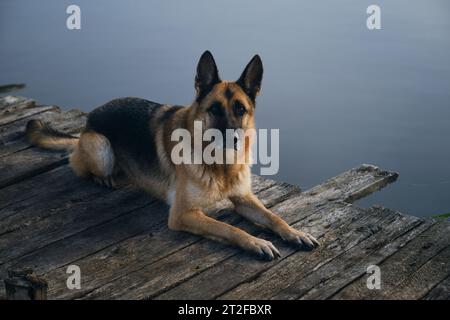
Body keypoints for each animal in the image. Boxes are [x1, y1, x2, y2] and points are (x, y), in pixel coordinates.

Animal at [26, 50, 318, 260]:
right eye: (214, 109)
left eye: (240, 109)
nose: (232, 140)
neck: (220, 165)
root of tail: (87, 123)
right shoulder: (183, 214)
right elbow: (230, 228)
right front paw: (257, 242)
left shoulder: (244, 198)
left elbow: (274, 217)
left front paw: (295, 233)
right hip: (101, 149)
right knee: (80, 164)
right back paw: (106, 177)